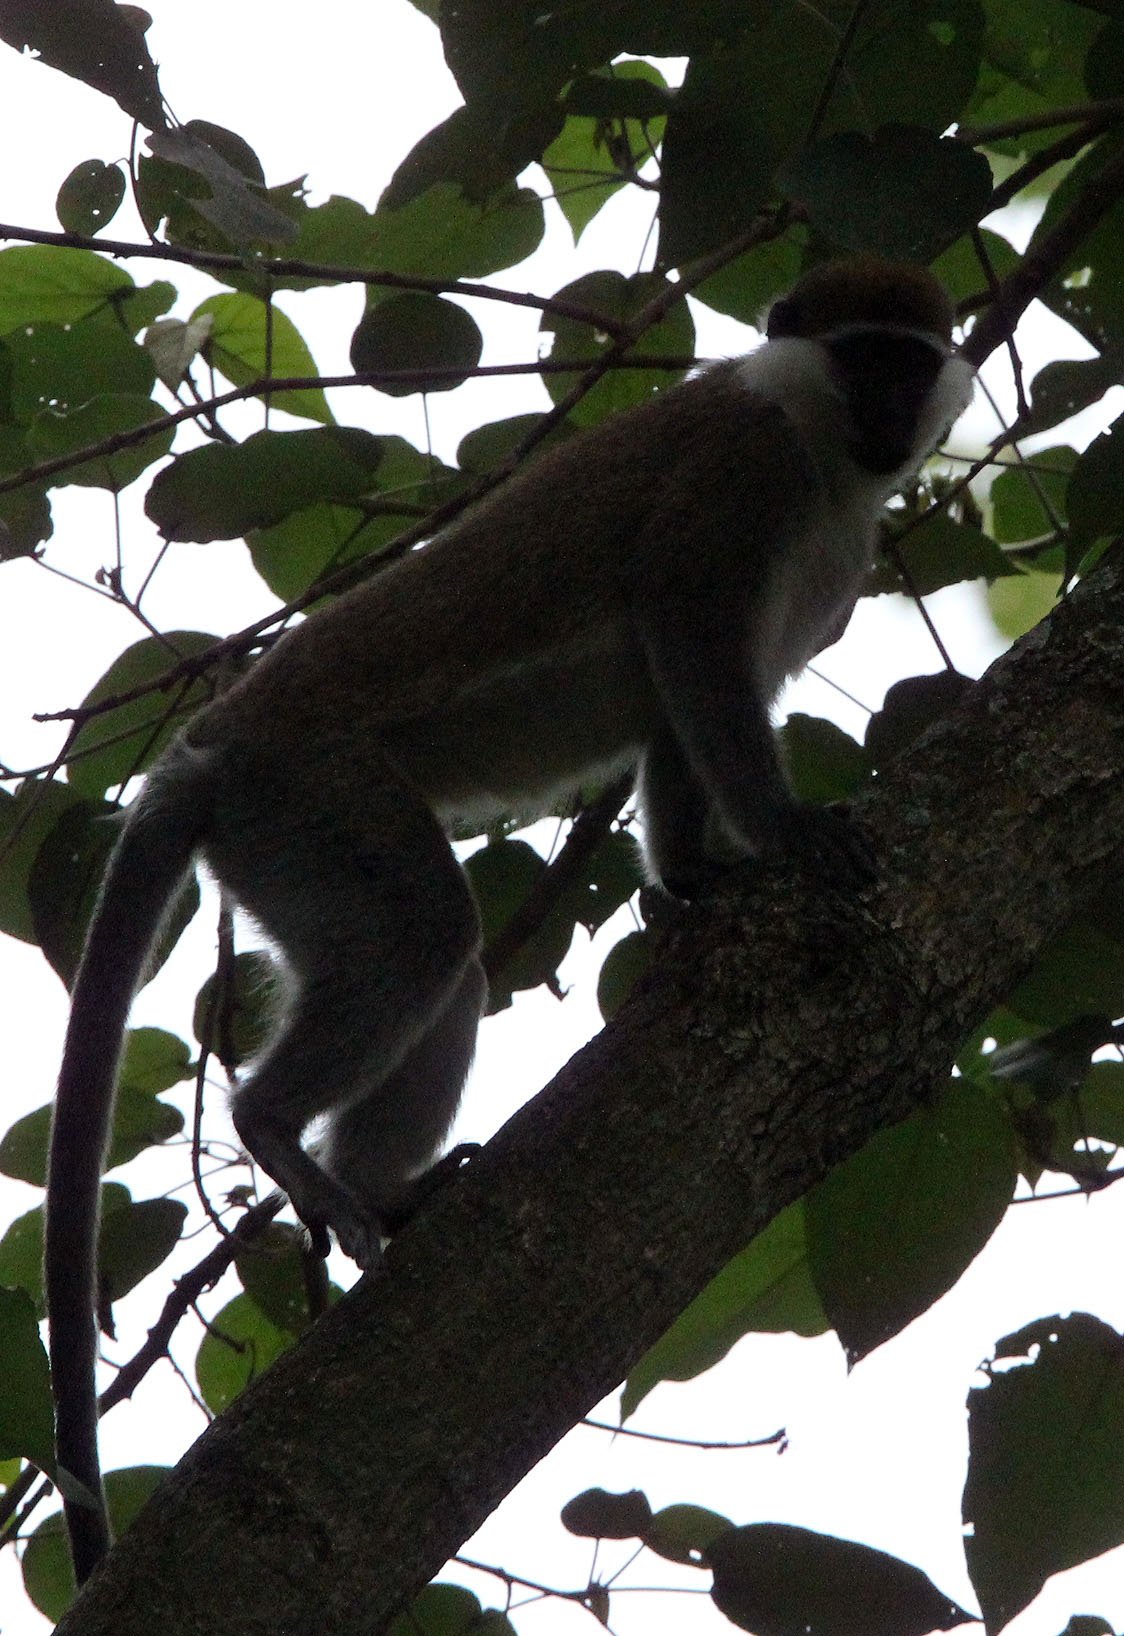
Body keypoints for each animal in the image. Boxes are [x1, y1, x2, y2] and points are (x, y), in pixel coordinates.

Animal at [45, 256, 974, 1580]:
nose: (894, 413)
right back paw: (278, 1131)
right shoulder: (732, 487)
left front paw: (693, 882)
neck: (814, 450)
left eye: (909, 359)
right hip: (312, 794)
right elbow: (692, 650)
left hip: (286, 843)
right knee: (424, 932)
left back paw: (383, 1189)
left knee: (448, 962)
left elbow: (675, 717)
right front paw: (786, 835)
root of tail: (209, 748)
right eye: (862, 356)